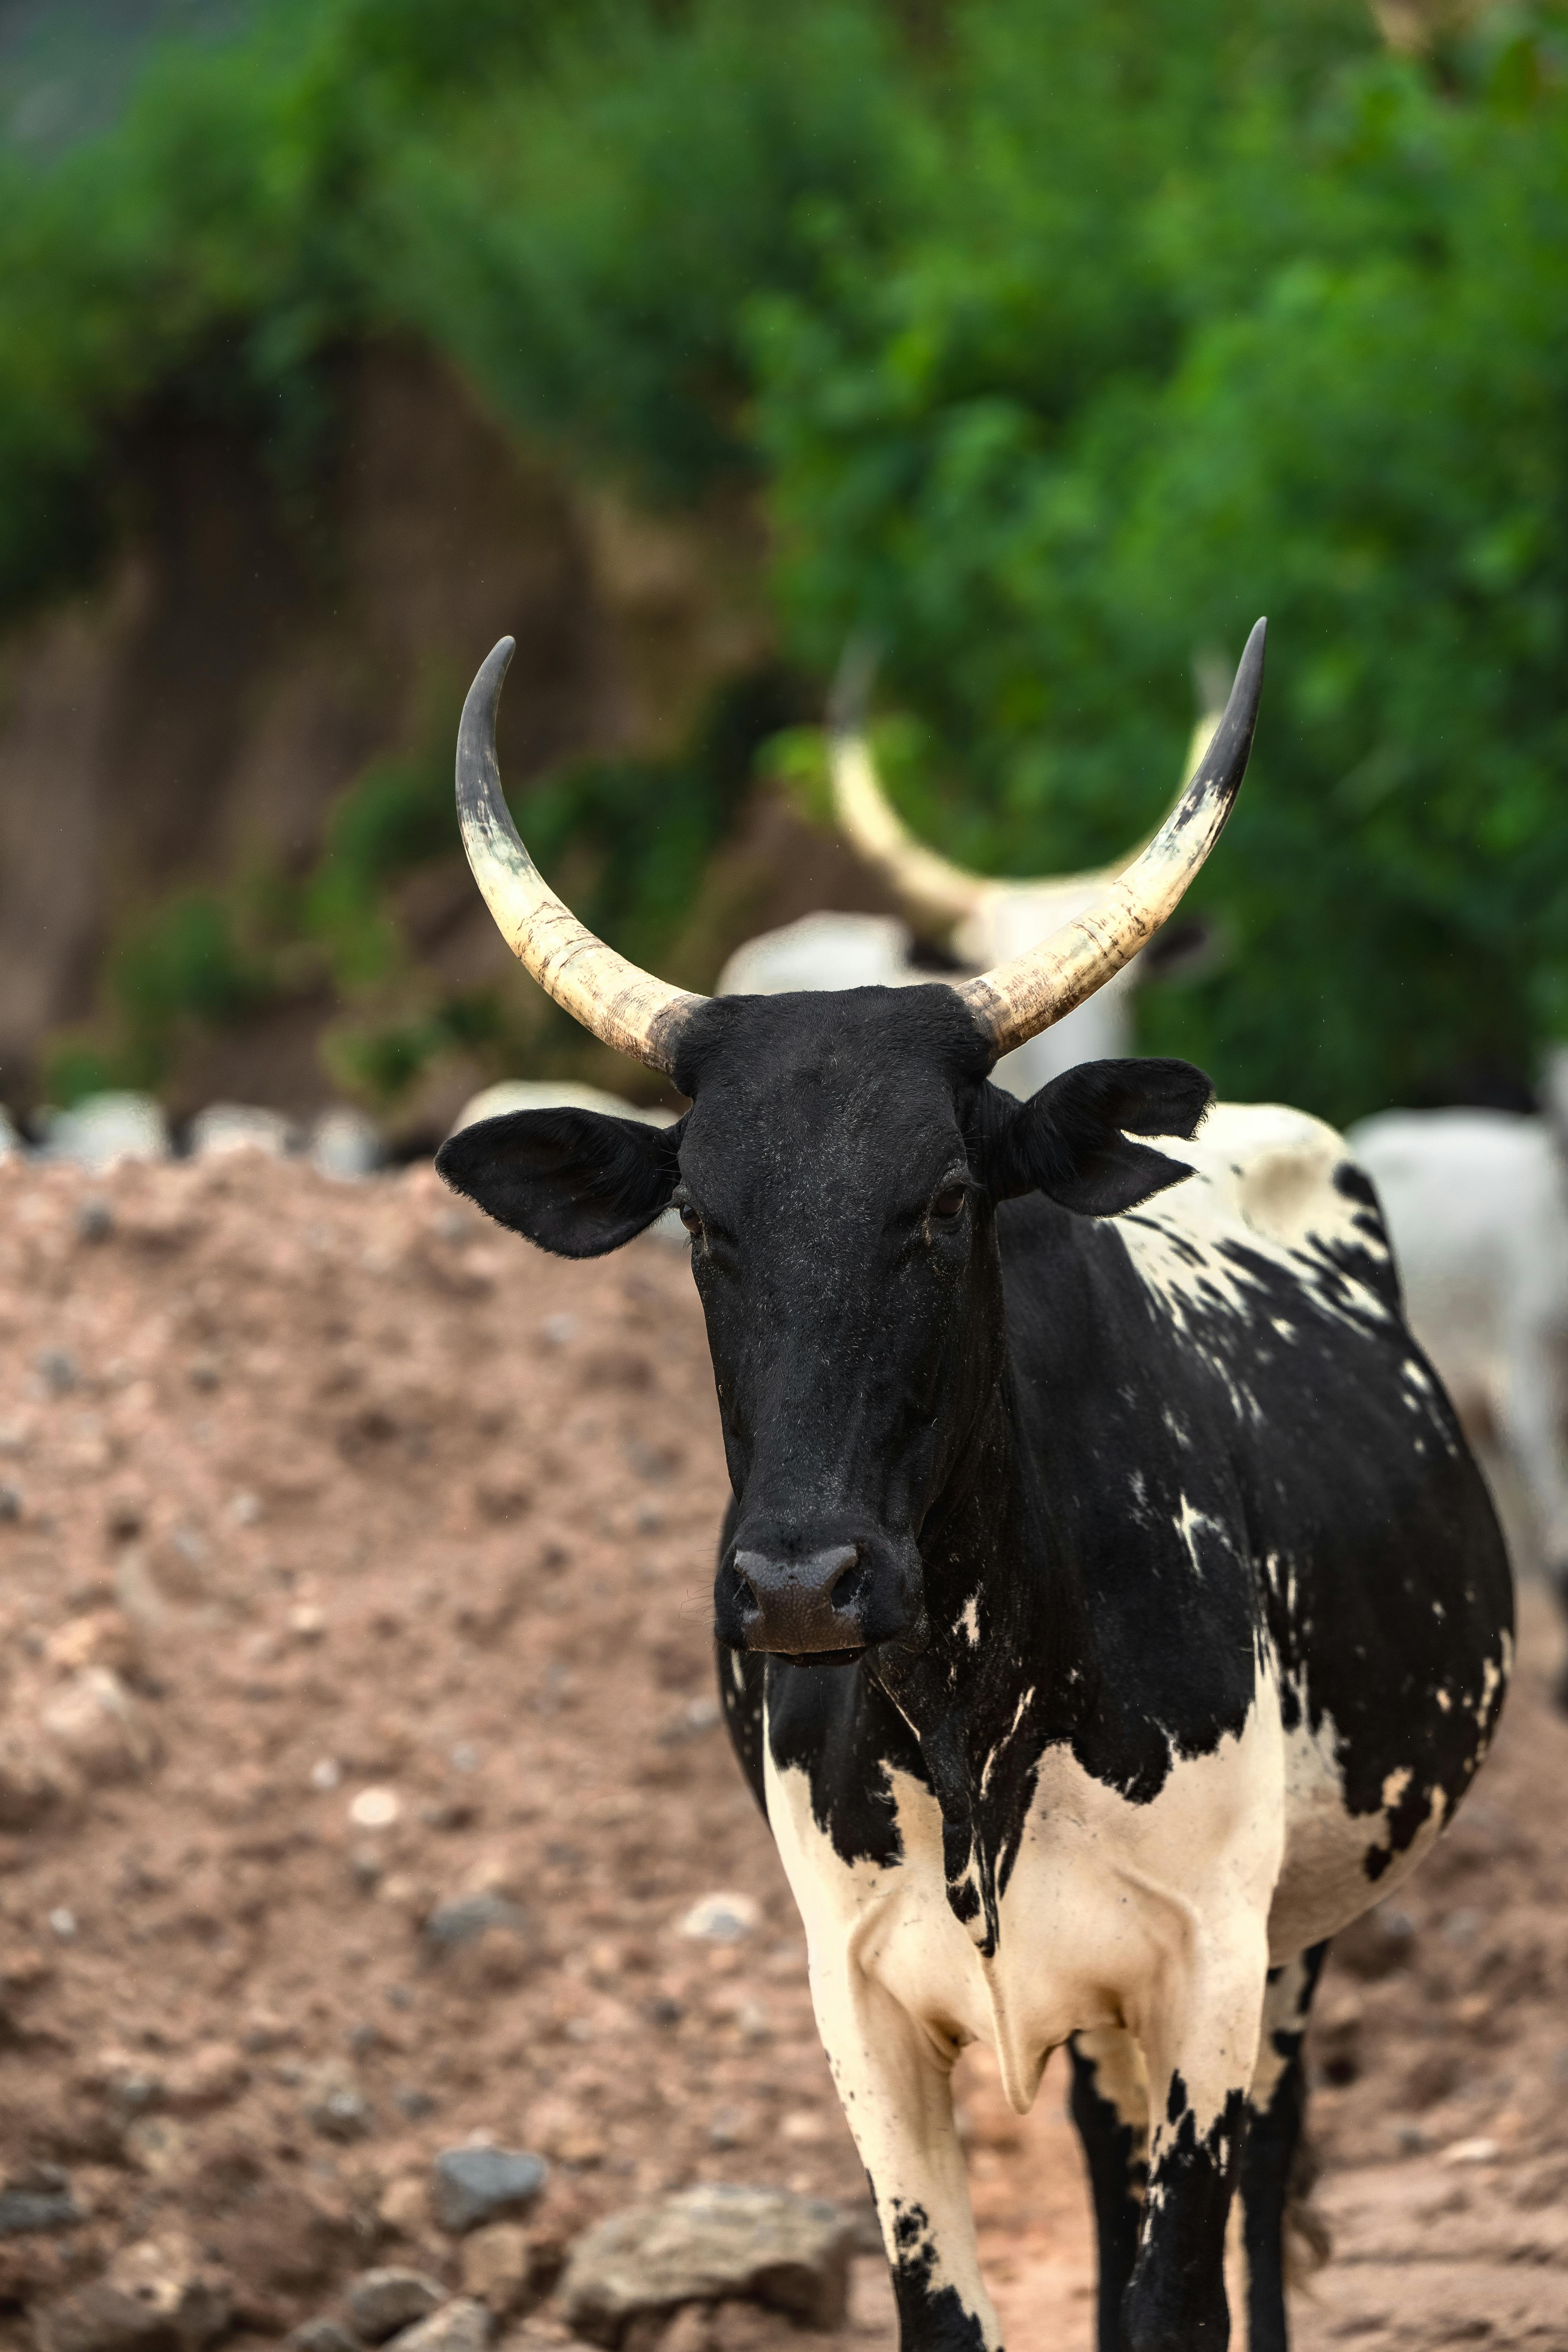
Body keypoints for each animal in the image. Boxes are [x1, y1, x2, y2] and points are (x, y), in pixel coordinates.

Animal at [436, 622, 1511, 2352]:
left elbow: (1174, 2291)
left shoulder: (1208, 1963)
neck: (964, 1698)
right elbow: (950, 2305)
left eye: (946, 1198)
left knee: (1270, 2168)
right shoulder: (860, 1998)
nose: (799, 1583)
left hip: (1295, 1936)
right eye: (702, 1220)